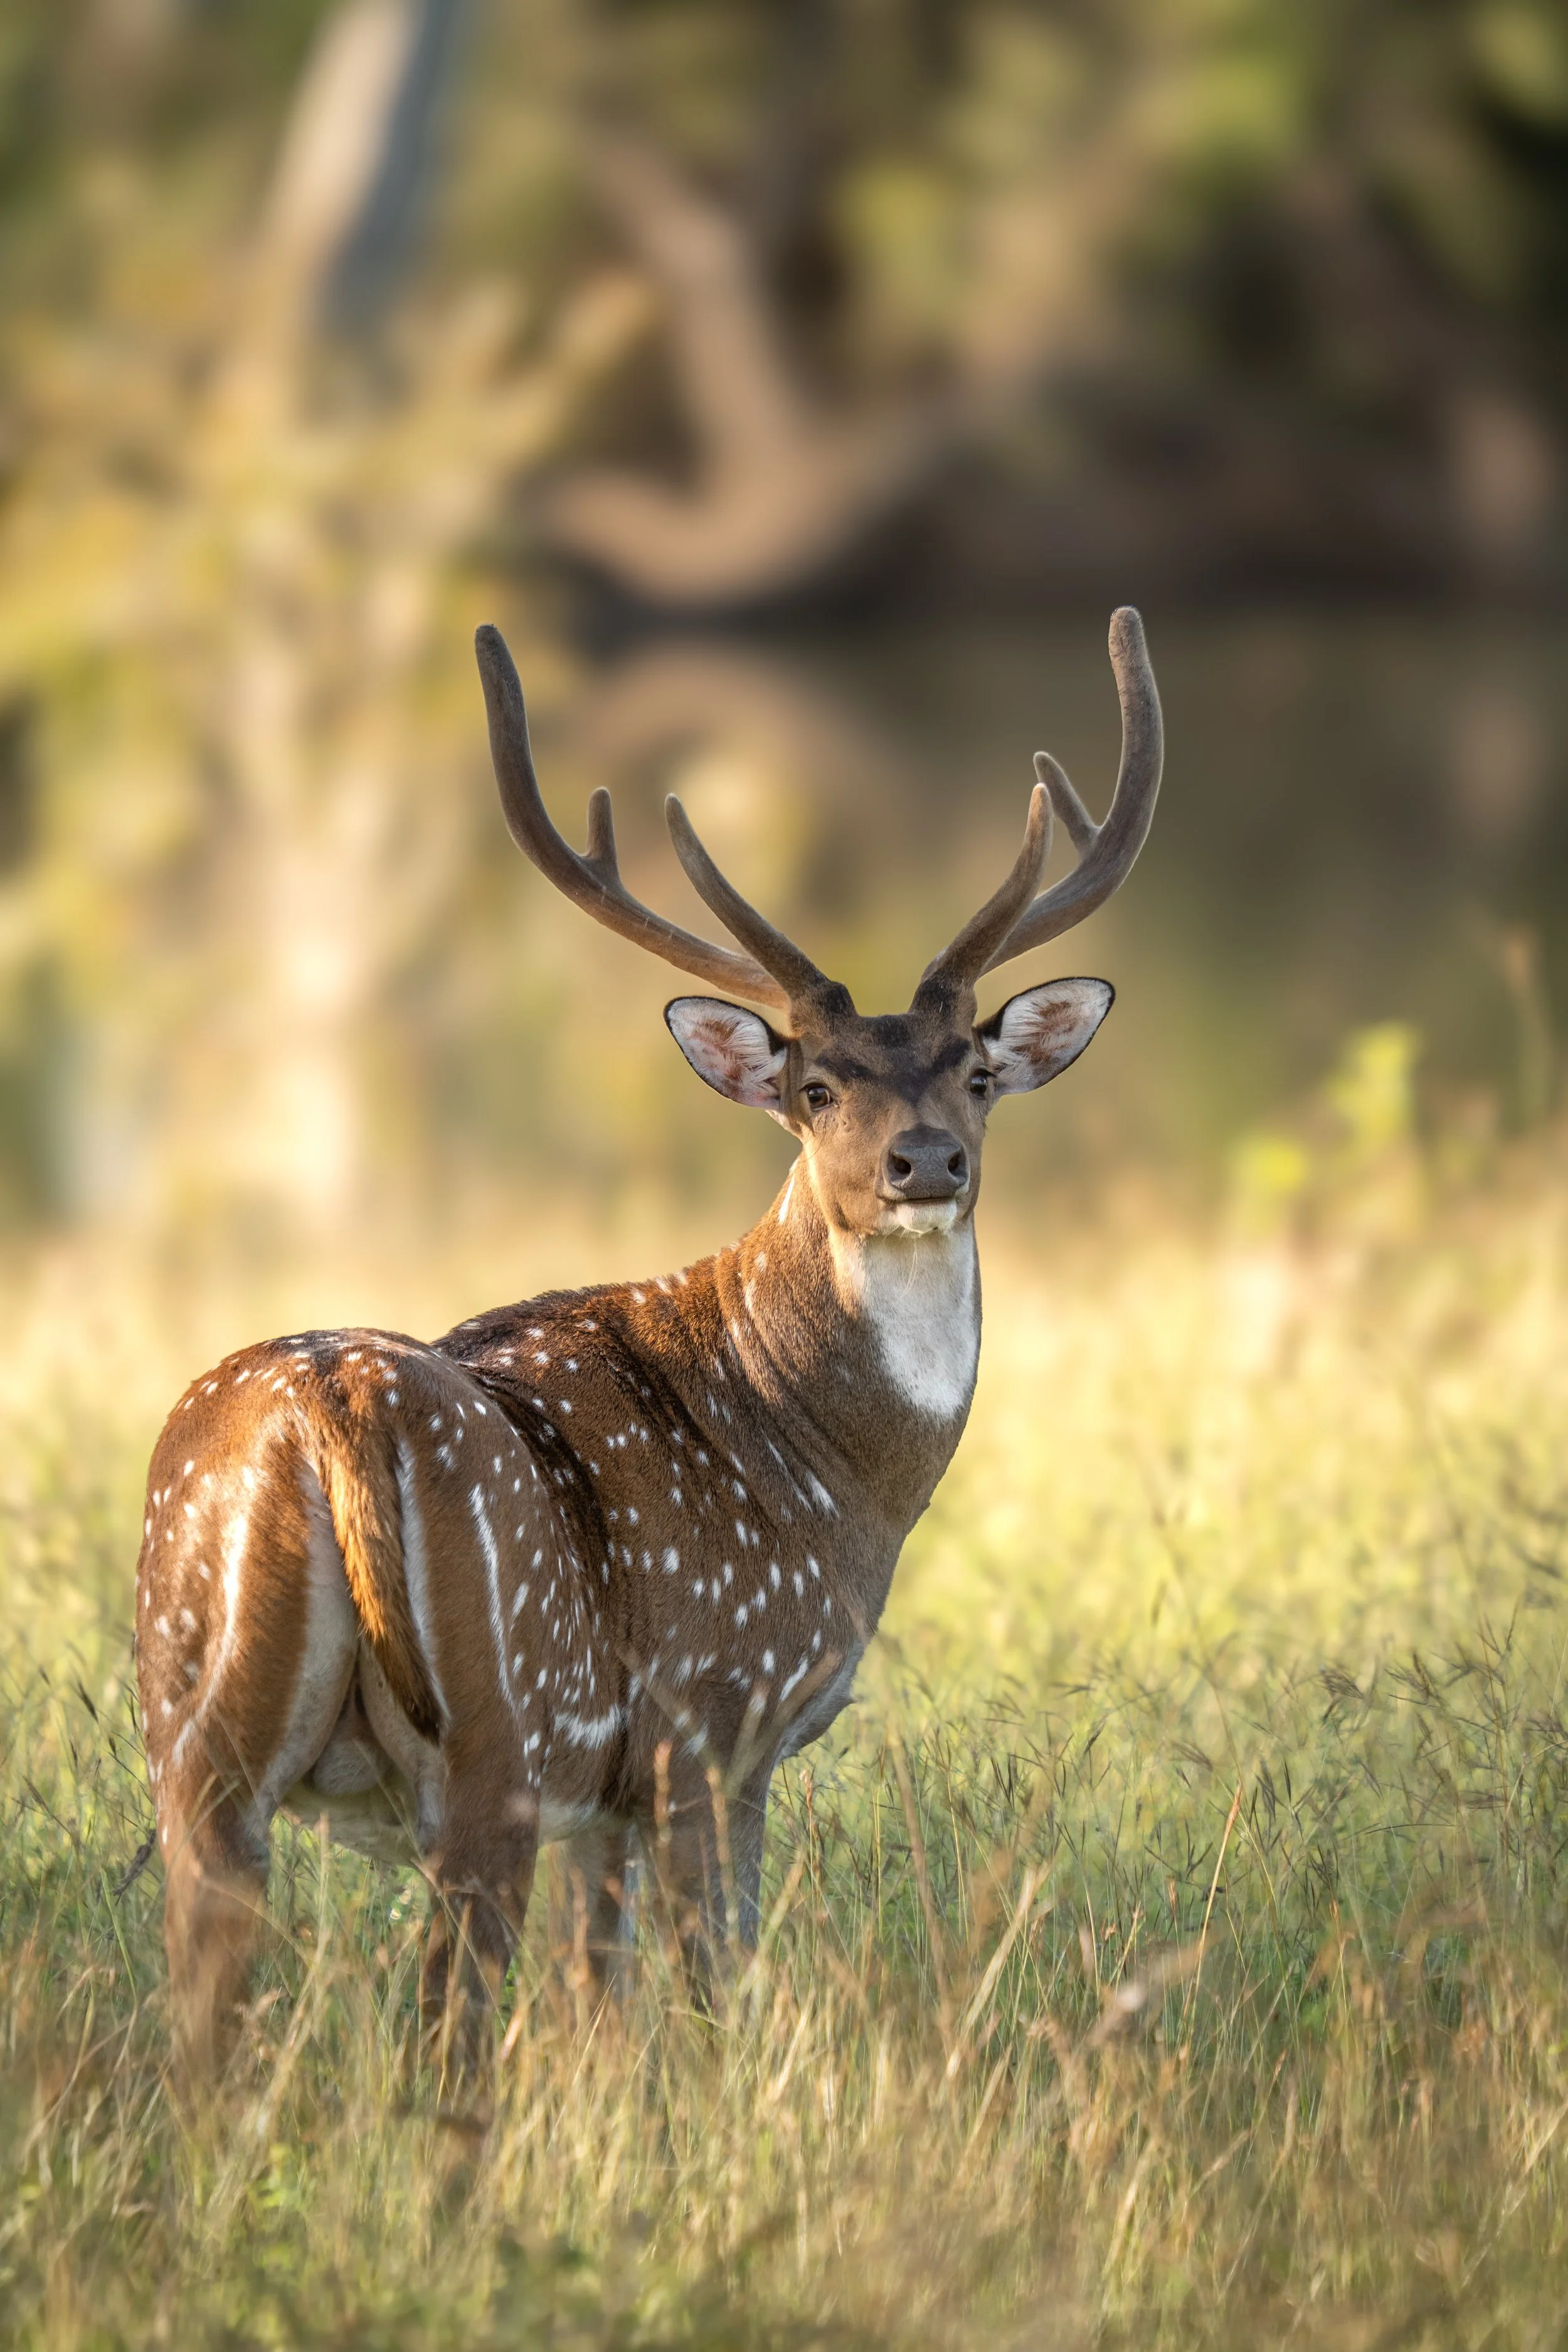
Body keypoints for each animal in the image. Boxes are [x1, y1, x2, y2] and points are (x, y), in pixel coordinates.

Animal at [135, 606, 1162, 2079]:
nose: (924, 1161)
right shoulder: (713, 1723)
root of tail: (330, 1409)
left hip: (193, 1734)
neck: (828, 1473)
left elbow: (597, 1997)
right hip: (493, 1739)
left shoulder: (606, 1799)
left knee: (205, 2025)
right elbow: (713, 1983)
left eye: (975, 1072)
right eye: (814, 1088)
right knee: (447, 2025)